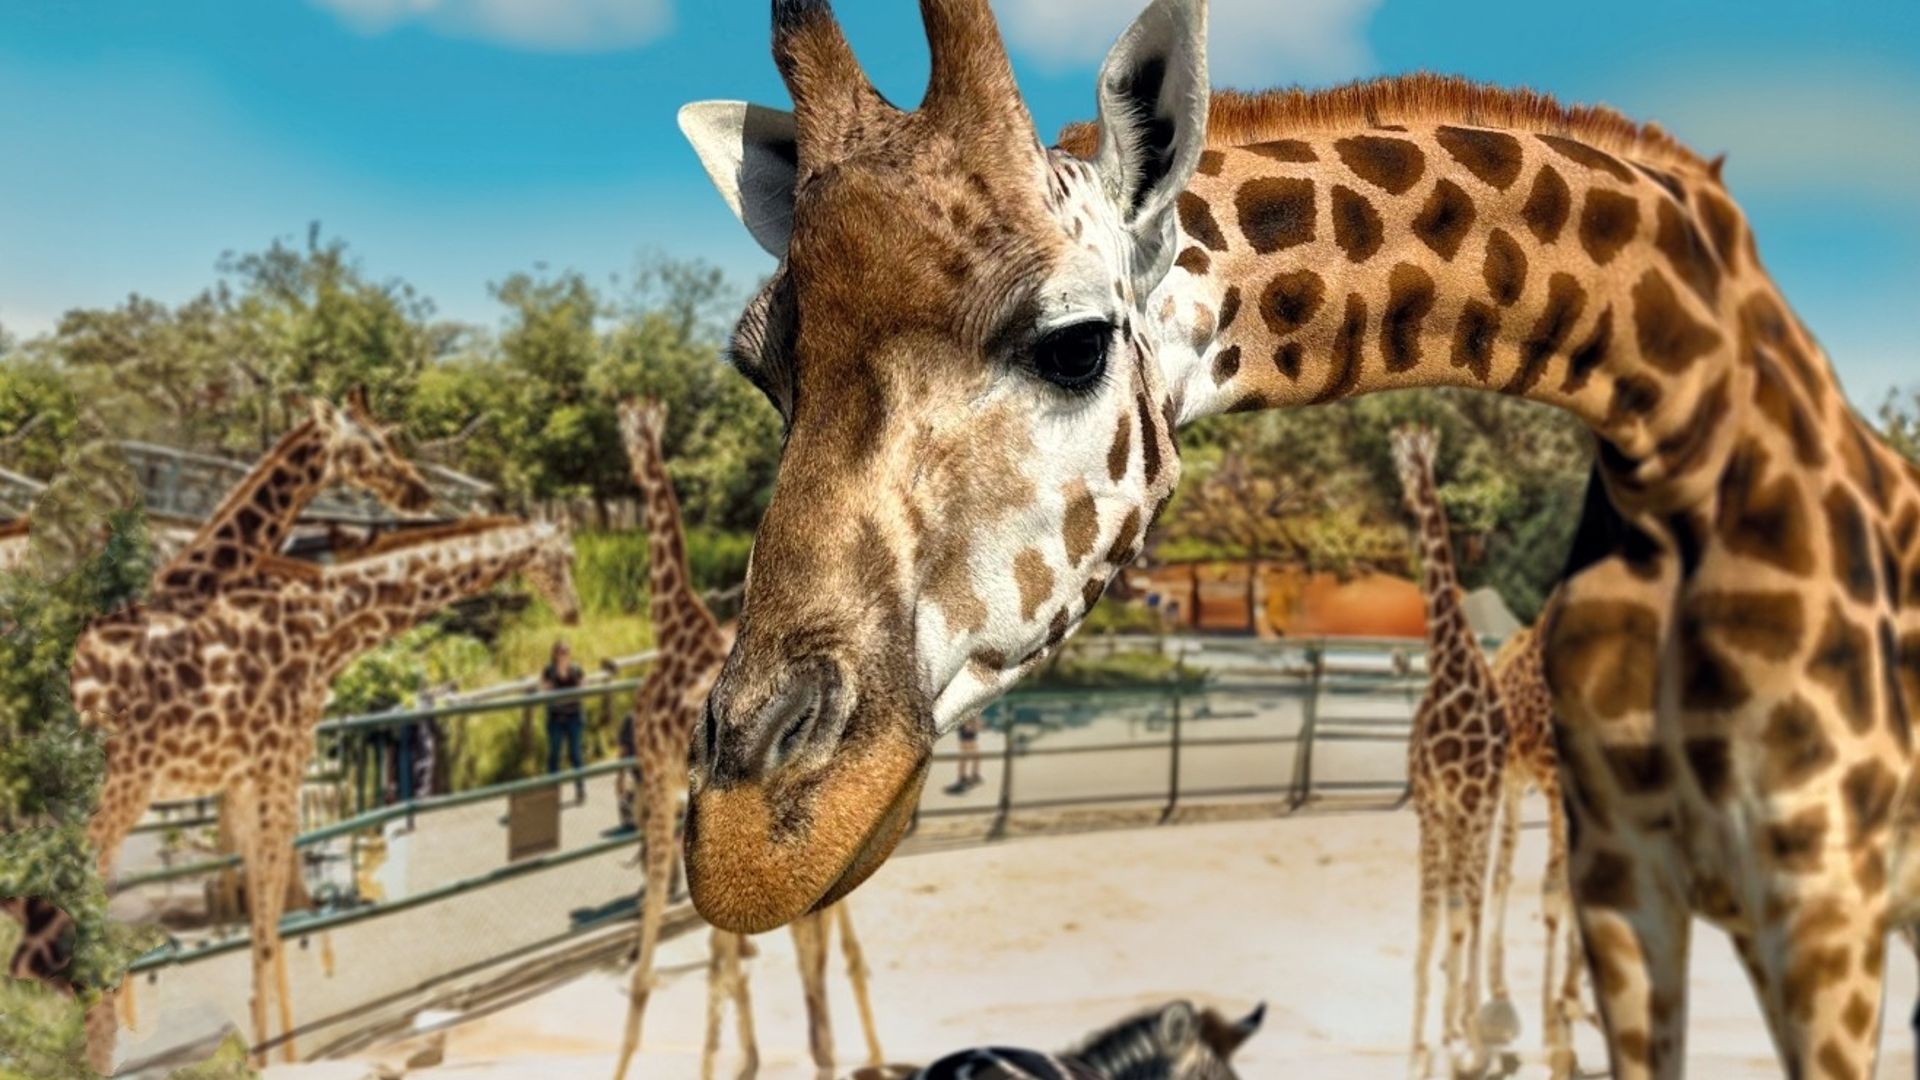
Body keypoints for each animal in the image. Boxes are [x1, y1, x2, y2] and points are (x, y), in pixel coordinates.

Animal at [66, 515, 578, 1067]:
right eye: (565, 556)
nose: (573, 611)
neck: (327, 626)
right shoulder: (280, 764)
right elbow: (270, 926)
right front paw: (274, 1052)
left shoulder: (251, 777)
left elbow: (267, 920)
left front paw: (276, 1047)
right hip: (124, 783)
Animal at [610, 397, 883, 1080]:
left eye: (629, 426)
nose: (632, 453)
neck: (674, 626)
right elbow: (721, 950)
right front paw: (738, 1058)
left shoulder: (659, 783)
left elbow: (682, 945)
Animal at [674, 2, 1920, 1076]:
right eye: (761, 370)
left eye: (1075, 343)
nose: (747, 838)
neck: (1683, 438)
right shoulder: (1628, 879)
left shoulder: (1824, 899)